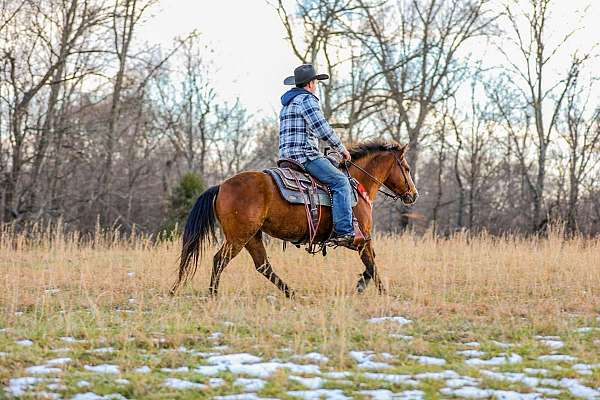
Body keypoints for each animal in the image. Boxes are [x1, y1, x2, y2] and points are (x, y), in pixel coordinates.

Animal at [171, 141, 418, 296]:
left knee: (263, 266)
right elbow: (372, 265)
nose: (413, 195)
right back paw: (213, 294)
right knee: (219, 260)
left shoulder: (362, 242)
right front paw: (382, 293)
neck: (355, 186)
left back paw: (291, 293)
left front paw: (360, 286)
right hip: (238, 237)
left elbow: (371, 264)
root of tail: (221, 186)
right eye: (406, 168)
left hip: (251, 237)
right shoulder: (361, 239)